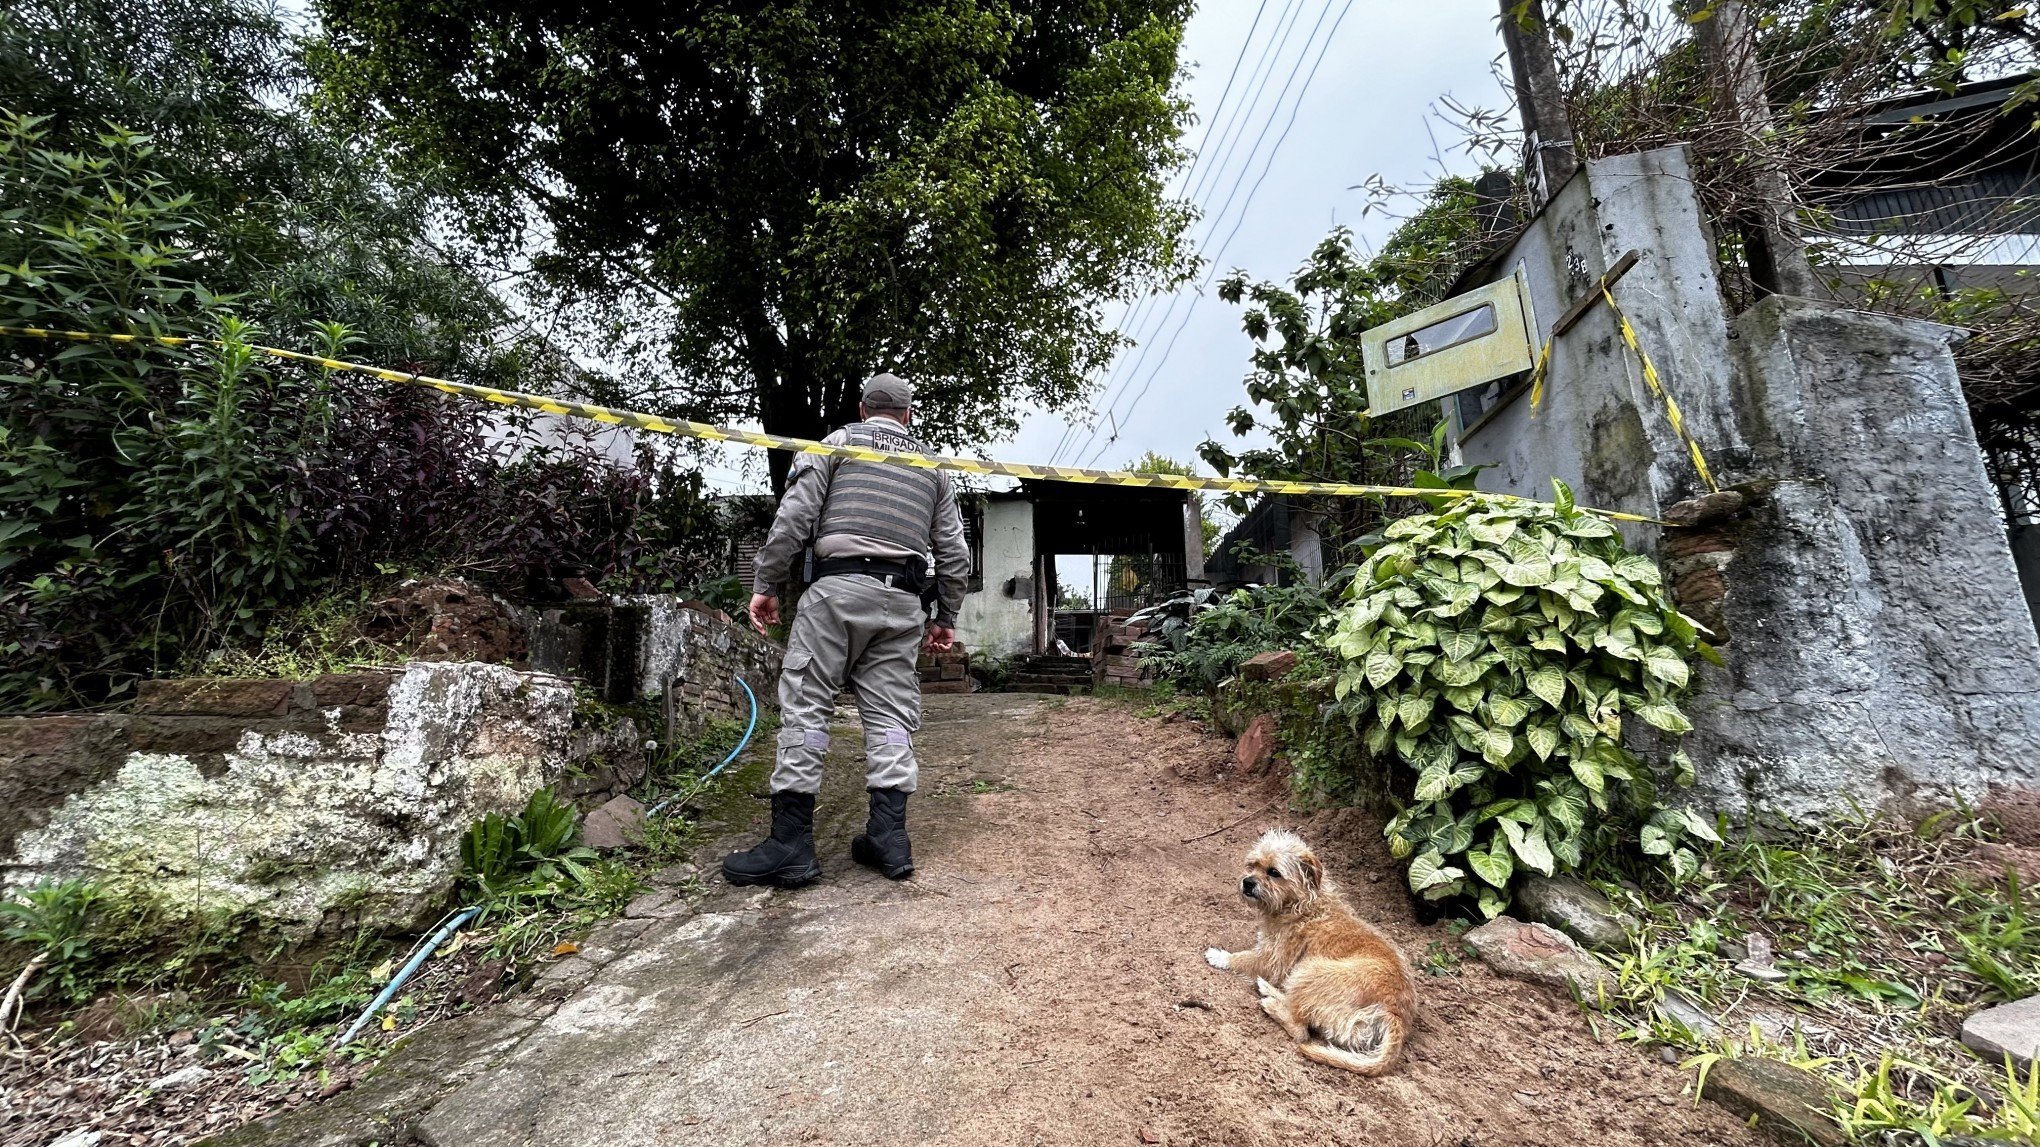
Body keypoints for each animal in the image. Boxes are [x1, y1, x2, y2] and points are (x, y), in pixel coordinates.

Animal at [1191, 824, 1419, 1069]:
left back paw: (1271, 1002)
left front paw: (1218, 955)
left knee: (1300, 1031)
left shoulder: (1271, 961)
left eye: (1274, 872)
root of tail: (1396, 1016)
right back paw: (1268, 990)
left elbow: (1242, 958)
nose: (1247, 882)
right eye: (1252, 865)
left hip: (1309, 970)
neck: (1301, 903)